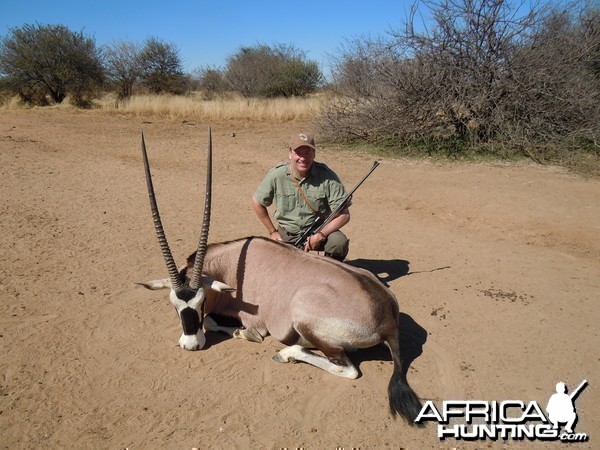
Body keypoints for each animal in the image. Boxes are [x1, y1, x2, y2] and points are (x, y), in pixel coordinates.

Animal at [139, 128, 424, 424]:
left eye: (201, 301)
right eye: (174, 305)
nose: (191, 345)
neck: (233, 265)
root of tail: (388, 317)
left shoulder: (250, 317)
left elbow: (211, 322)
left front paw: (244, 333)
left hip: (306, 319)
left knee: (347, 368)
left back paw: (287, 353)